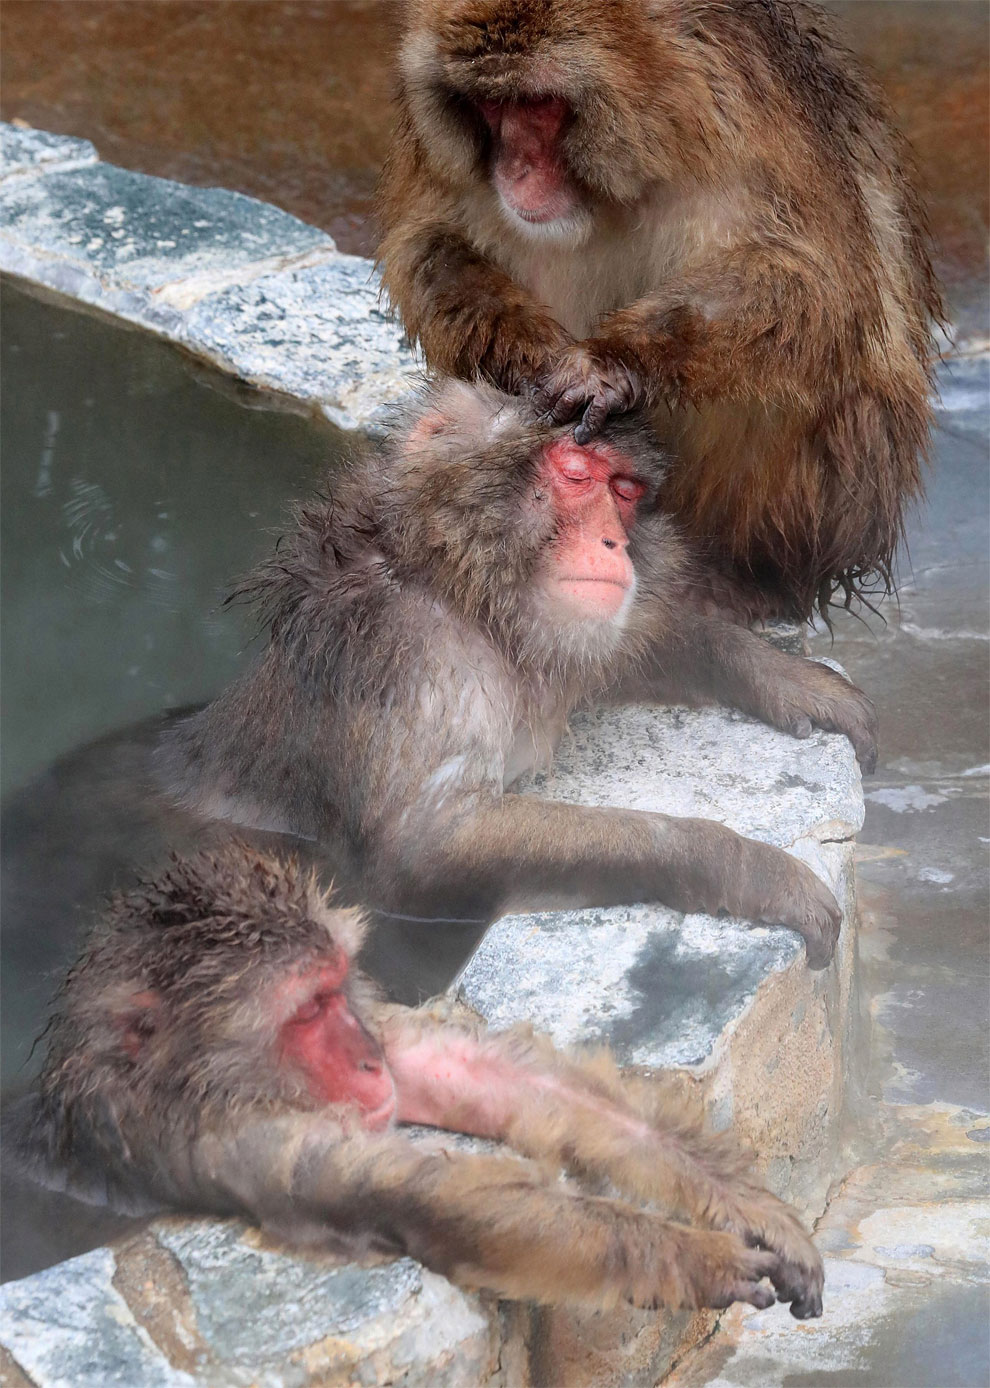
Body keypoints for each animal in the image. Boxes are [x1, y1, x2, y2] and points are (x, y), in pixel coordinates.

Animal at [8, 841, 825, 1317]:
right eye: (306, 1011)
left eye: (336, 986)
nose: (367, 1058)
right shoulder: (229, 1139)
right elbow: (428, 1196)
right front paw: (694, 1256)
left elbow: (484, 1076)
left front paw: (749, 1206)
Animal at [376, 0, 943, 621]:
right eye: (490, 105)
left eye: (539, 103)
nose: (515, 169)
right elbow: (429, 239)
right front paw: (522, 354)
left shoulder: (740, 109)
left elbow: (811, 281)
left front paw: (607, 364)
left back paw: (743, 578)